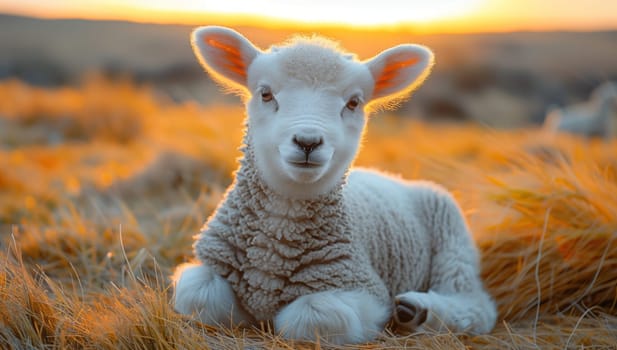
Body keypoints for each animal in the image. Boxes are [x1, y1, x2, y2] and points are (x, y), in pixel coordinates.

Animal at [172, 26, 496, 344]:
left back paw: (416, 310)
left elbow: (310, 318)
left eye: (353, 102)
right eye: (265, 94)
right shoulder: (210, 265)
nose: (308, 142)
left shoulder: (364, 289)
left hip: (451, 235)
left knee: (475, 303)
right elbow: (200, 295)